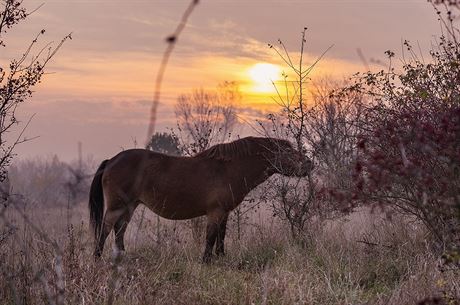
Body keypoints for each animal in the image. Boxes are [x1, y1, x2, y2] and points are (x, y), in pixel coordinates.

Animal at [89, 135, 312, 262]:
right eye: (287, 151)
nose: (309, 163)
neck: (228, 169)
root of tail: (112, 160)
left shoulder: (224, 212)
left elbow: (221, 236)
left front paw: (220, 259)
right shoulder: (215, 212)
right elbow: (211, 236)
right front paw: (206, 261)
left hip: (130, 206)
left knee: (120, 229)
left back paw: (121, 257)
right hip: (117, 206)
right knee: (106, 229)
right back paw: (98, 259)